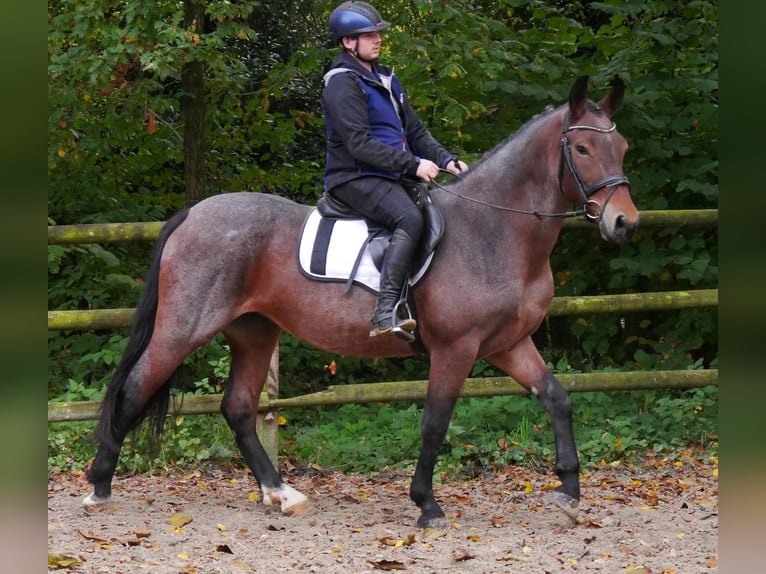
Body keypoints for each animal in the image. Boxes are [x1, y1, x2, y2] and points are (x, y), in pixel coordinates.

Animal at [82, 76, 640, 532]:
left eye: (622, 146)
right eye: (583, 148)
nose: (624, 223)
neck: (494, 230)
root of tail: (193, 213)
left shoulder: (509, 344)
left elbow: (557, 398)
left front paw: (569, 494)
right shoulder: (456, 349)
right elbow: (435, 423)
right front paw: (427, 505)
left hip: (254, 330)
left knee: (237, 407)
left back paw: (280, 493)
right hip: (184, 327)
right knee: (133, 389)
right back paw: (99, 486)